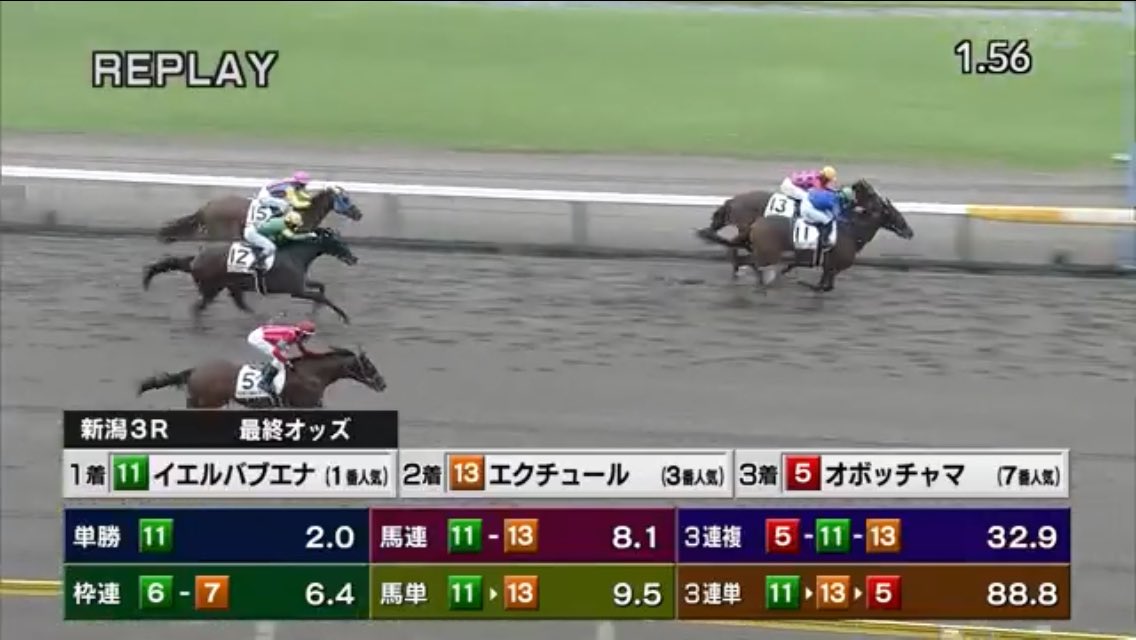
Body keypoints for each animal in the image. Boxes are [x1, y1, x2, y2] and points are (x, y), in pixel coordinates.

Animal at [142, 227, 359, 323]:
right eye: (339, 242)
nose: (354, 258)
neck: (295, 255)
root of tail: (195, 259)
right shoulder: (296, 289)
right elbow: (322, 296)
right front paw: (344, 317)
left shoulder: (302, 283)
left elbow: (321, 287)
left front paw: (315, 311)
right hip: (211, 288)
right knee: (198, 308)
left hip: (232, 287)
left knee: (241, 305)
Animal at [744, 179, 915, 293]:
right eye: (894, 214)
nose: (910, 232)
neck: (852, 231)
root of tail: (756, 224)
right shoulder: (834, 266)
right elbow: (823, 287)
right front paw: (801, 281)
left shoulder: (829, 267)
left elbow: (825, 285)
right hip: (767, 254)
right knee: (755, 267)